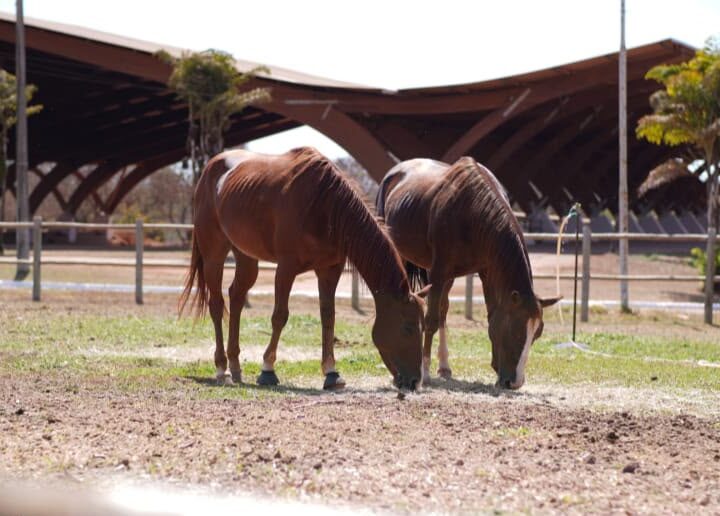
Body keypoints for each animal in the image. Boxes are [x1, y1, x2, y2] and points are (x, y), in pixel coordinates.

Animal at [179, 147, 424, 391]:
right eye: (407, 328)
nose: (414, 381)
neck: (324, 205)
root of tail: (210, 167)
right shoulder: (286, 268)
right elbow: (280, 316)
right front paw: (267, 370)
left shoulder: (329, 270)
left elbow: (328, 317)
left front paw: (331, 373)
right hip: (213, 255)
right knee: (216, 304)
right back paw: (222, 369)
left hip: (246, 257)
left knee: (236, 297)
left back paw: (235, 366)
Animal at [376, 157, 560, 389]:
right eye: (516, 331)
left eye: (537, 333)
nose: (515, 382)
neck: (472, 211)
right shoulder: (439, 271)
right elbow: (430, 320)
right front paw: (424, 372)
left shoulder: (486, 272)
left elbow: (490, 317)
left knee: (443, 309)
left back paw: (444, 366)